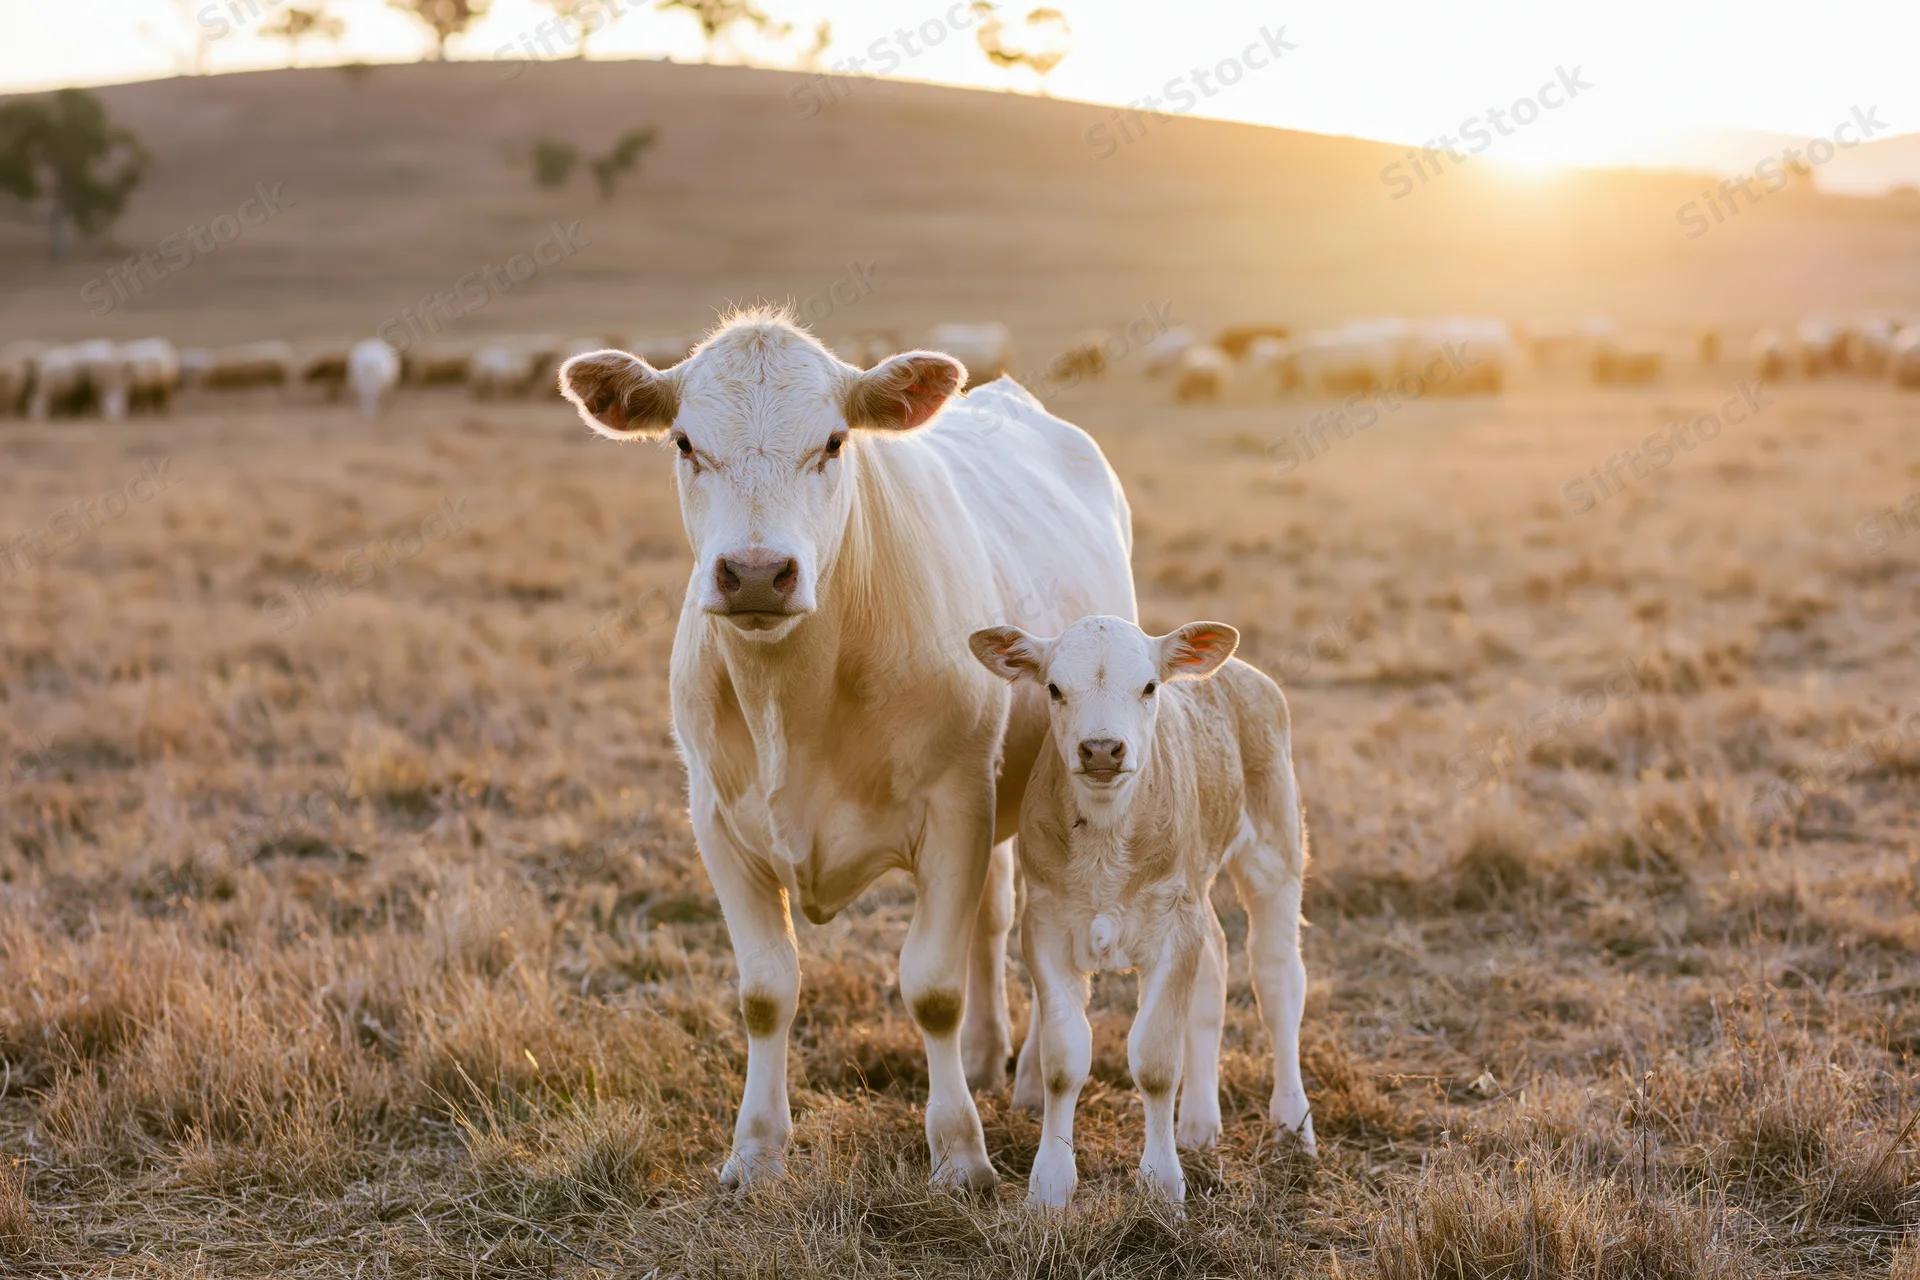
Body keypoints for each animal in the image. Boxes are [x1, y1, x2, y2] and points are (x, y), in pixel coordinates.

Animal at [557, 309, 1136, 1192]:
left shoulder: (955, 807)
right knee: (994, 921)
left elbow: (932, 987)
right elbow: (766, 990)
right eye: (685, 443)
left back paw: (1033, 1079)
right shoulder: (716, 820)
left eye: (833, 442)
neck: (791, 698)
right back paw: (984, 1056)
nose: (755, 572)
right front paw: (756, 1150)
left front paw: (959, 1153)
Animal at [967, 615, 1313, 1209]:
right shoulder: (1047, 927)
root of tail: (1247, 674)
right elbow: (1063, 1062)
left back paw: (1293, 1123)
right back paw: (1198, 1125)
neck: (1106, 841)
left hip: (1275, 845)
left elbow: (1154, 1062)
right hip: (1197, 890)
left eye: (1149, 687)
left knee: (1277, 981)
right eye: (1054, 688)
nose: (1102, 749)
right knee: (1216, 964)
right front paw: (1050, 1185)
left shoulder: (1173, 931)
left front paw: (1162, 1183)